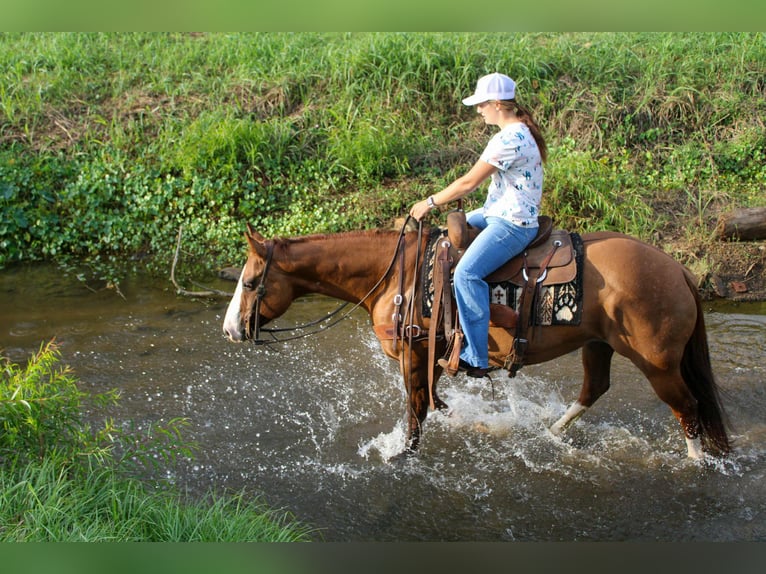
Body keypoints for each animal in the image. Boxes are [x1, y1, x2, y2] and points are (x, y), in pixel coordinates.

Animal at [222, 222, 730, 460]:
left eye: (249, 283)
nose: (230, 330)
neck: (395, 275)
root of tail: (679, 271)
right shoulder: (428, 358)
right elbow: (432, 403)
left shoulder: (413, 354)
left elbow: (416, 410)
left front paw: (399, 455)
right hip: (598, 344)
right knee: (594, 388)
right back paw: (550, 433)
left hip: (657, 362)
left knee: (688, 407)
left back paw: (695, 463)